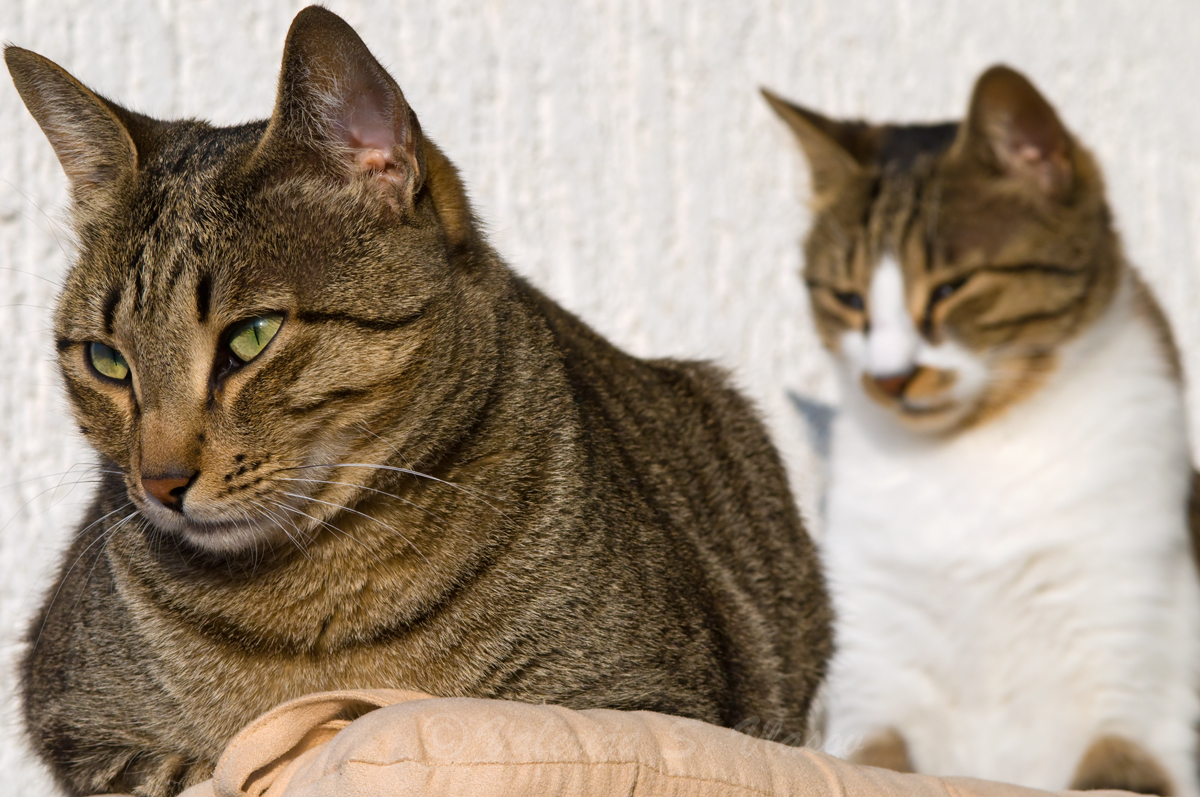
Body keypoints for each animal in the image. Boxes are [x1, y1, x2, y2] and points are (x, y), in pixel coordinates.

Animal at [4, 7, 830, 797]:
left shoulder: (644, 706)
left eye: (251, 336)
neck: (311, 602)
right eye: (107, 359)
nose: (158, 482)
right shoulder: (78, 723)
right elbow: (180, 768)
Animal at [768, 68, 1200, 797]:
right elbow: (875, 761)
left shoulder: (1132, 661)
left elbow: (1116, 764)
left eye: (953, 288)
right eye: (848, 300)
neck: (970, 463)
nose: (889, 378)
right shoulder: (876, 669)